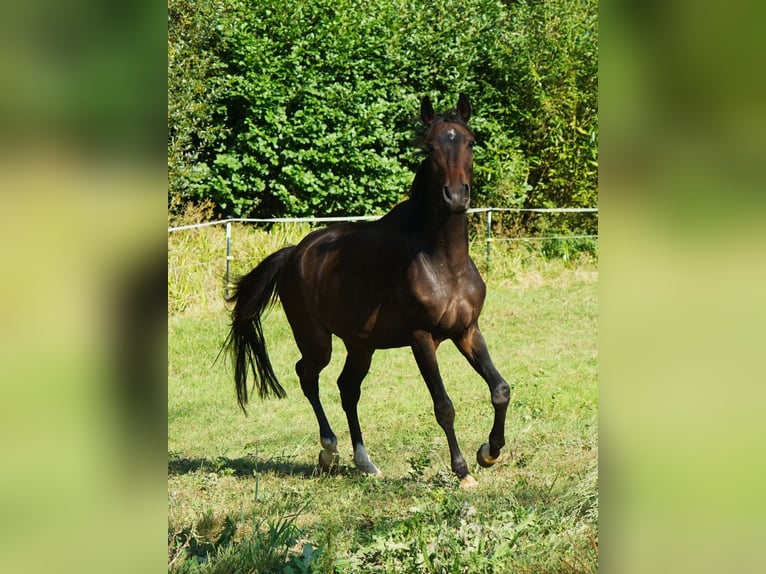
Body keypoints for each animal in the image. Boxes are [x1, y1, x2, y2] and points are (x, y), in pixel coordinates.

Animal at [226, 94, 510, 490]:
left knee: (347, 388)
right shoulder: (422, 338)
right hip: (318, 342)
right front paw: (463, 470)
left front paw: (490, 452)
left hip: (361, 345)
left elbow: (500, 390)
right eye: (431, 146)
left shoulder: (467, 331)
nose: (455, 197)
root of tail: (295, 253)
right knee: (307, 375)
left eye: (470, 142)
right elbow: (444, 406)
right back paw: (330, 451)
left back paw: (365, 462)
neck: (443, 262)